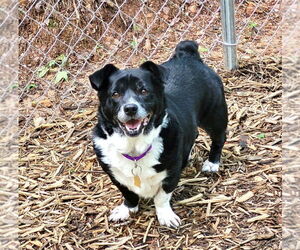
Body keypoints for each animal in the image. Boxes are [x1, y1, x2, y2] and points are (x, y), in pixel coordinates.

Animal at [89, 40, 227, 228]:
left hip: (215, 116)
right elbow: (128, 194)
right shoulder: (114, 175)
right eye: (115, 94)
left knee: (219, 139)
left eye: (144, 91)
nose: (130, 108)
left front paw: (165, 215)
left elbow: (162, 197)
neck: (135, 148)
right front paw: (127, 209)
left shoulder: (171, 174)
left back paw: (212, 163)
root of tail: (188, 54)